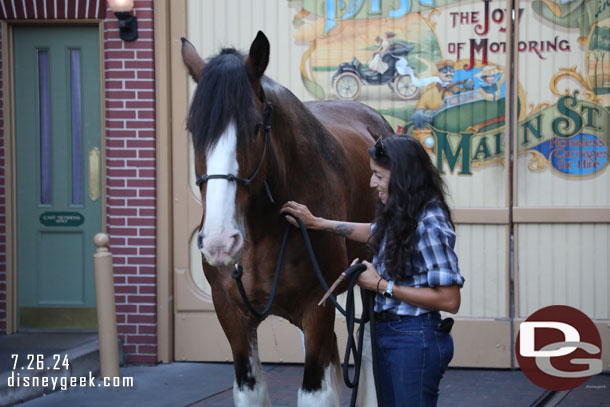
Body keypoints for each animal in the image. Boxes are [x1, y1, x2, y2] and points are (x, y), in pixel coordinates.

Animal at [178, 30, 392, 406]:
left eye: (255, 127)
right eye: (194, 128)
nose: (219, 242)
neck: (264, 231)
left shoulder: (316, 307)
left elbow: (315, 391)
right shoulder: (230, 314)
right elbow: (251, 388)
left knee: (366, 350)